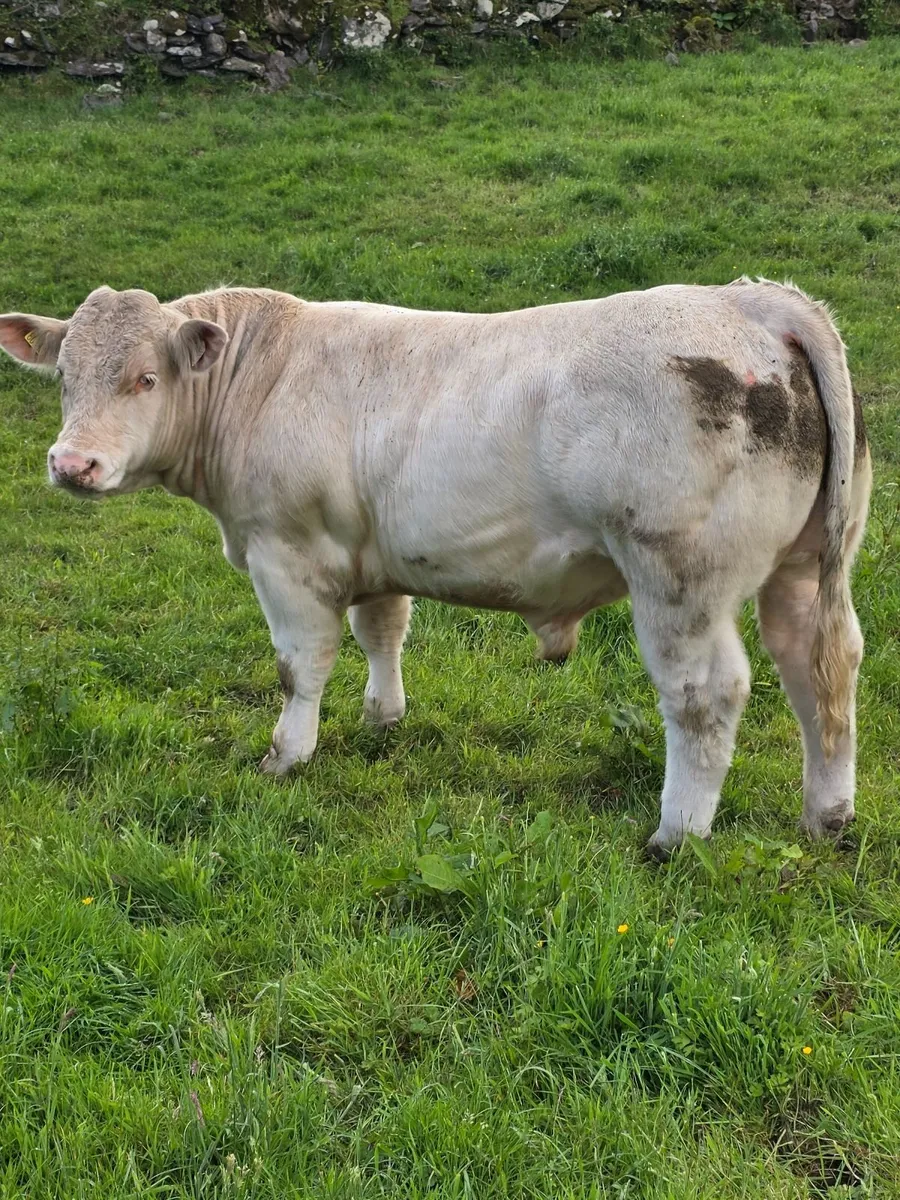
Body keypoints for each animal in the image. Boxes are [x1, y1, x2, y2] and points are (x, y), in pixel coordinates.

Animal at [0, 278, 871, 855]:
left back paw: (676, 834)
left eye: (145, 377)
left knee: (705, 696)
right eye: (66, 377)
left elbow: (299, 665)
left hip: (679, 577)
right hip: (806, 567)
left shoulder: (285, 552)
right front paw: (382, 717)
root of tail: (750, 299)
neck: (261, 377)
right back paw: (826, 815)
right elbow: (383, 630)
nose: (71, 465)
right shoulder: (366, 549)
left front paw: (287, 755)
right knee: (819, 668)